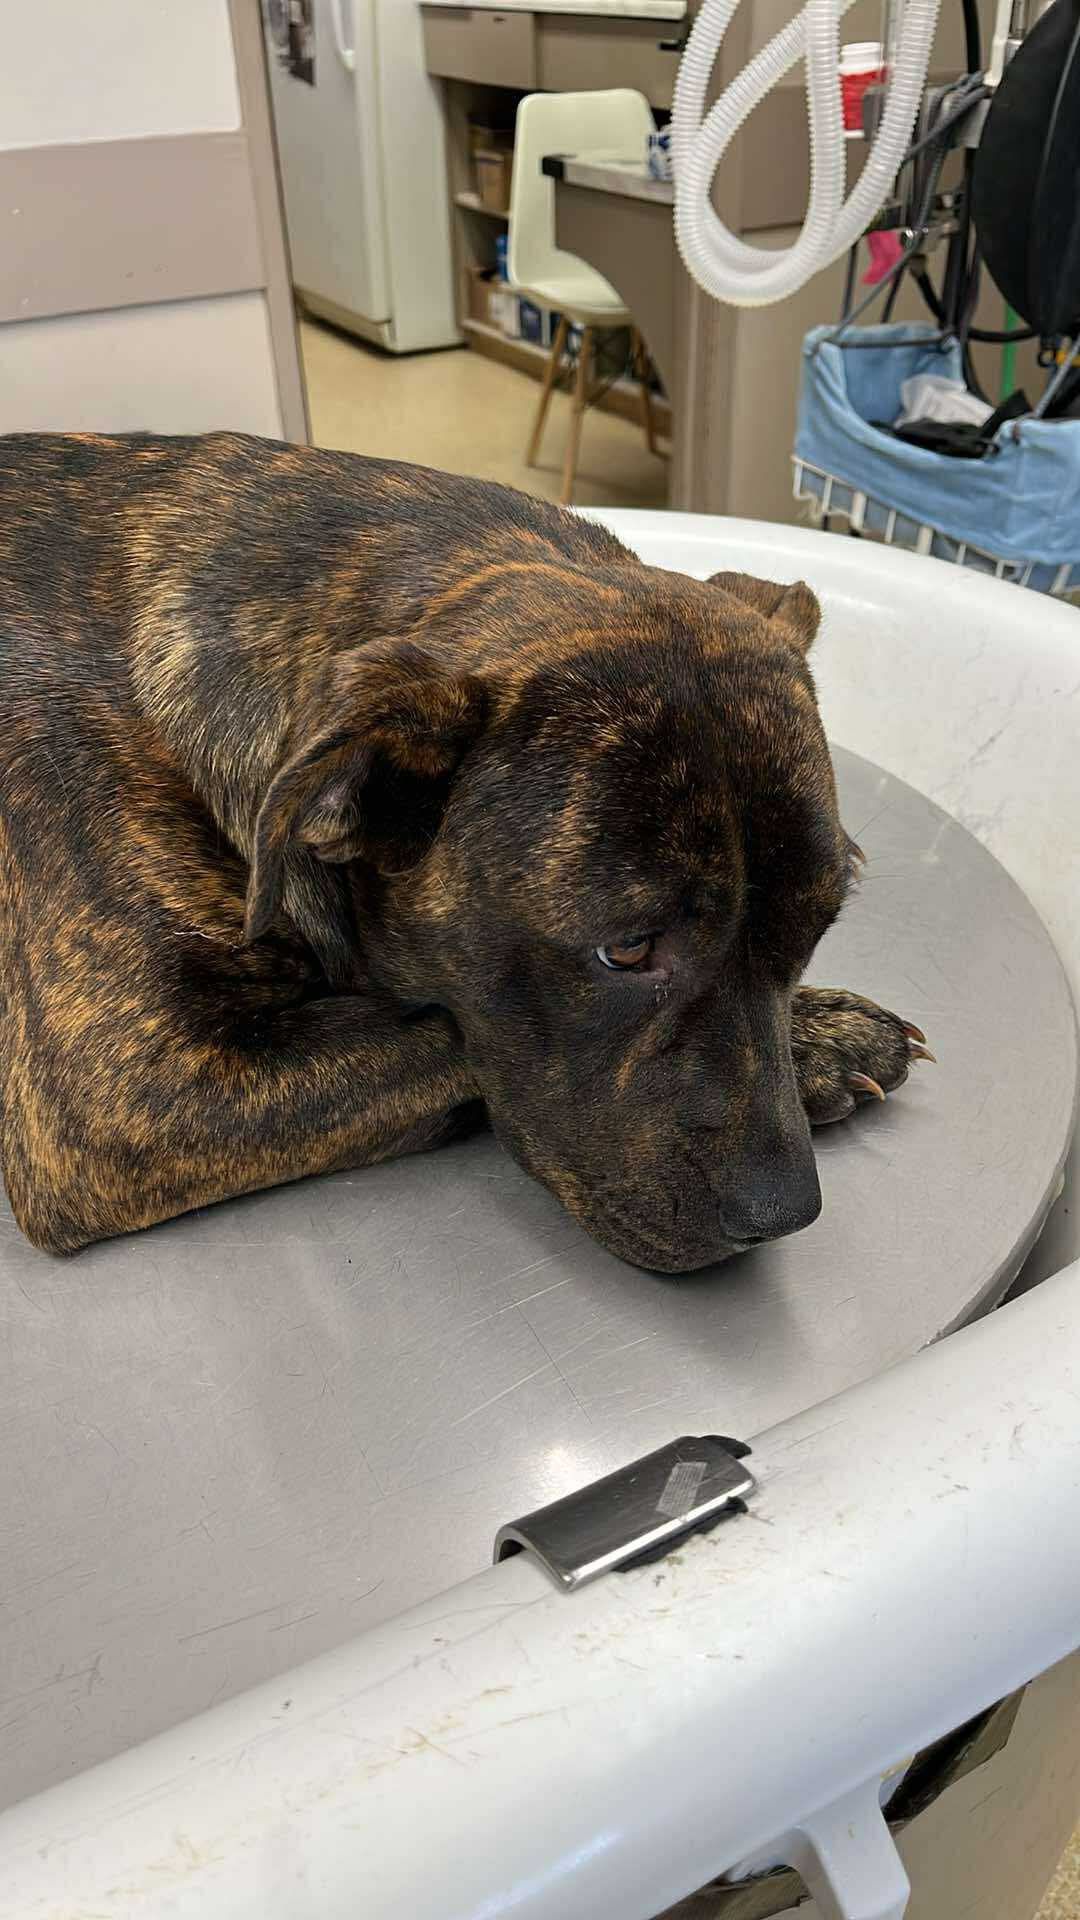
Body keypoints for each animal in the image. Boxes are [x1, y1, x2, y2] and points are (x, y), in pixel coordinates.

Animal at [0, 432, 930, 1265]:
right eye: (626, 951)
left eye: (815, 931)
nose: (783, 1212)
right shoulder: (128, 1103)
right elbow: (435, 1026)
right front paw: (815, 1044)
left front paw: (816, 1034)